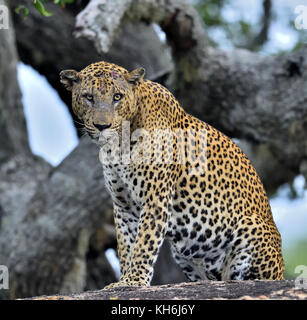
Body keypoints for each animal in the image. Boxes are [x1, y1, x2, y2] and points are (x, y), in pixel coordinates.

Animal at [60, 60, 286, 288]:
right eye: (89, 97)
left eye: (117, 97)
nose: (102, 126)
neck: (118, 144)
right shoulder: (123, 206)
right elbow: (126, 246)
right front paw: (124, 279)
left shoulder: (155, 198)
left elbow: (144, 244)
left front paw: (133, 281)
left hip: (250, 228)